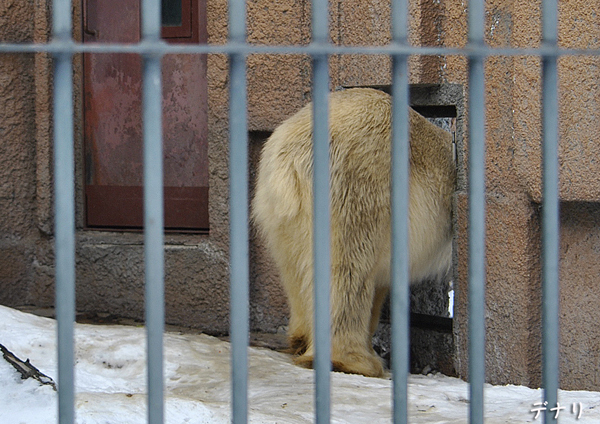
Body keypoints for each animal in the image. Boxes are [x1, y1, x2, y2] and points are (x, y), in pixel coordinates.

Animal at [252, 87, 454, 378]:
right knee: (349, 268)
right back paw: (354, 361)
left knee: (295, 269)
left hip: (279, 212)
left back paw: (304, 339)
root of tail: (290, 152)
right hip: (357, 183)